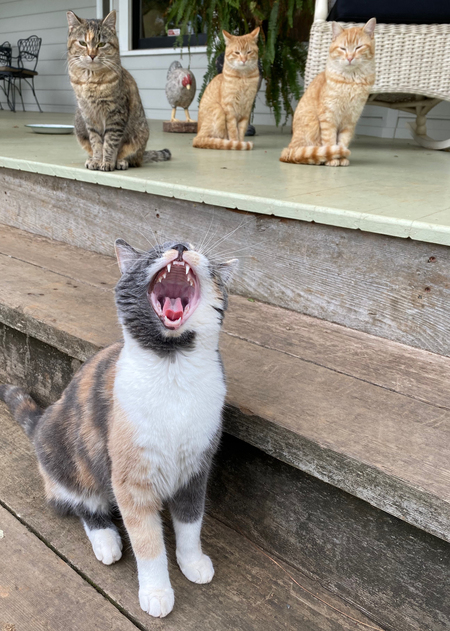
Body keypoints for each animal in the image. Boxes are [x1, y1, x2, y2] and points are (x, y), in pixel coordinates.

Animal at [0, 241, 237, 616]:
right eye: (156, 249)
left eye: (197, 250)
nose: (181, 245)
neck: (173, 367)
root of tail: (41, 424)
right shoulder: (131, 482)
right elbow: (148, 544)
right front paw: (156, 592)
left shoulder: (196, 469)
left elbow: (190, 524)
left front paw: (192, 562)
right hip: (69, 459)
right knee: (79, 502)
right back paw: (106, 539)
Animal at [67, 10, 171, 173]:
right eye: (82, 43)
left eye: (101, 44)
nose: (92, 55)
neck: (91, 81)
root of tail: (143, 154)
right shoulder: (89, 116)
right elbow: (96, 143)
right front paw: (97, 160)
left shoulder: (116, 114)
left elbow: (110, 143)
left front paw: (108, 162)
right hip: (79, 123)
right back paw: (91, 158)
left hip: (139, 136)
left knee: (131, 157)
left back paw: (121, 162)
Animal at [282, 18, 376, 168]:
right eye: (343, 49)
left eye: (358, 47)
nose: (350, 58)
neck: (351, 81)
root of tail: (288, 150)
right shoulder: (328, 117)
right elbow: (330, 141)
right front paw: (333, 159)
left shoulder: (350, 121)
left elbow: (343, 142)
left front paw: (341, 157)